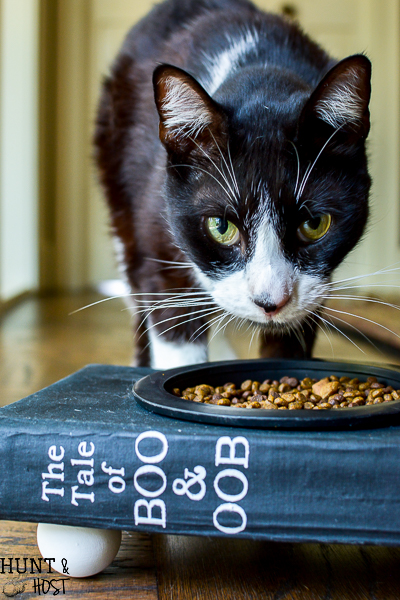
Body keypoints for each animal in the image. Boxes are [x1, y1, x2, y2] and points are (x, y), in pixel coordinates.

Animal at [94, 0, 372, 370]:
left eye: (315, 223)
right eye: (220, 226)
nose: (270, 301)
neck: (261, 74)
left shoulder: (316, 288)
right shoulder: (160, 251)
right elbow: (172, 322)